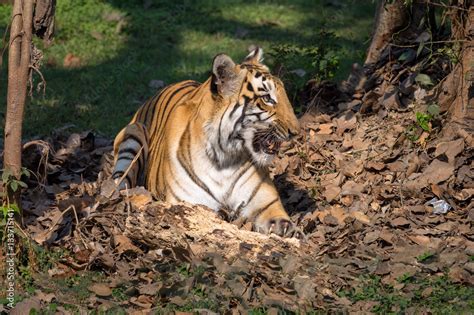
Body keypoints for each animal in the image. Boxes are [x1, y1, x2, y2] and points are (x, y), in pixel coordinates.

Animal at [113, 47, 302, 238]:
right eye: (267, 98)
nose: (296, 132)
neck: (224, 158)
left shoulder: (266, 203)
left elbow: (282, 222)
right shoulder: (189, 202)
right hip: (133, 135)